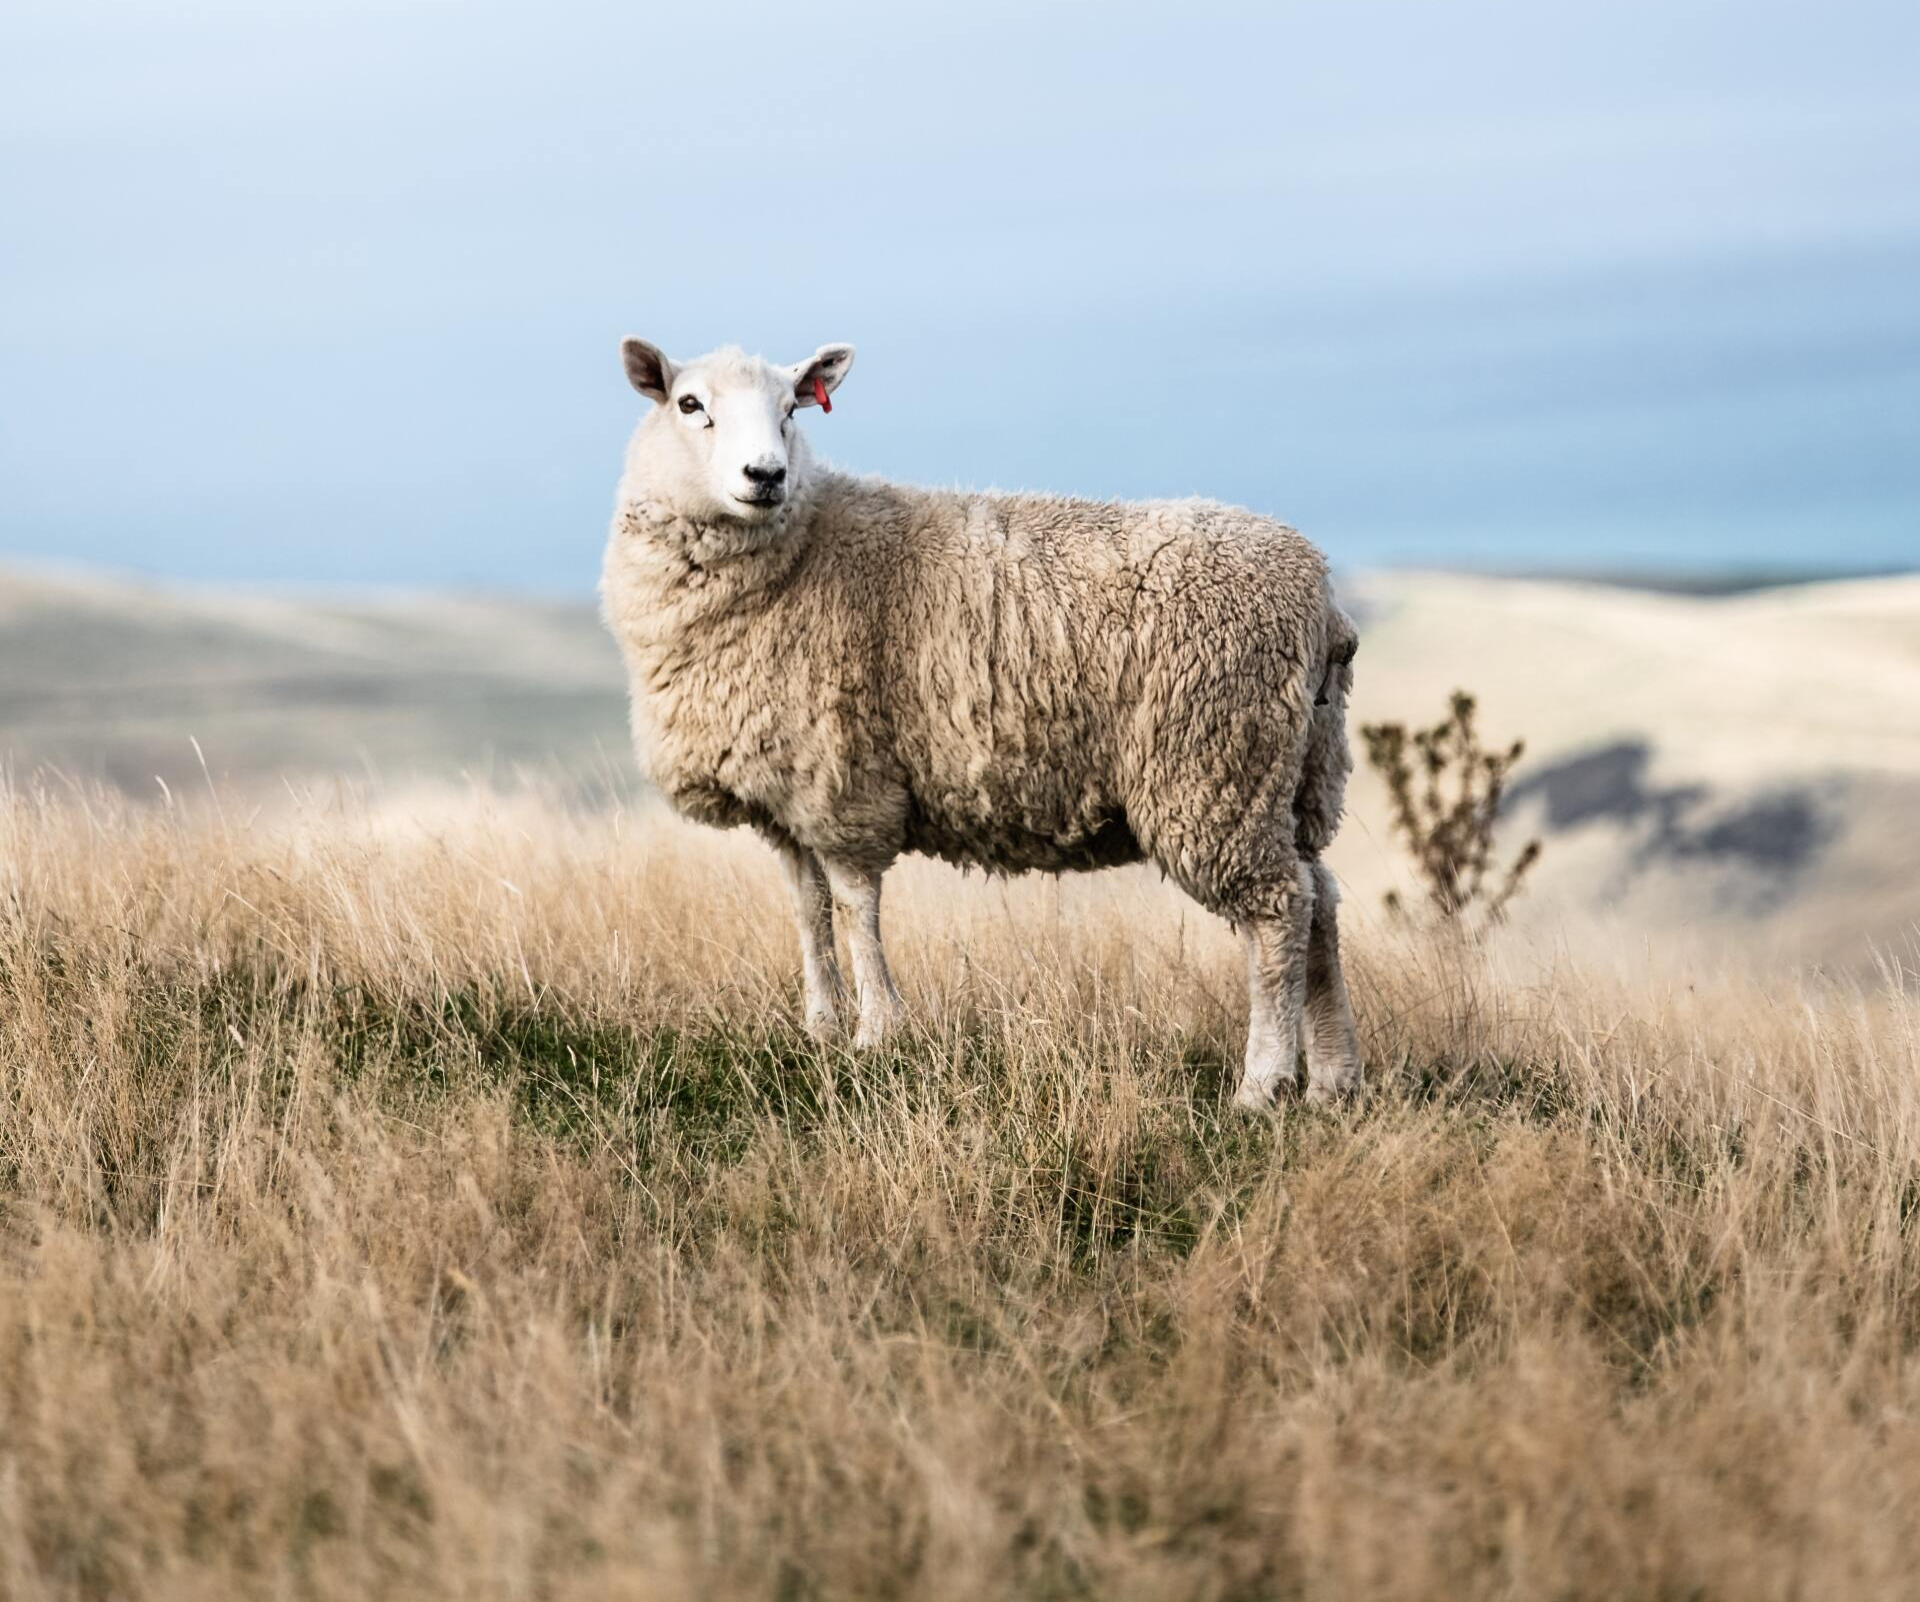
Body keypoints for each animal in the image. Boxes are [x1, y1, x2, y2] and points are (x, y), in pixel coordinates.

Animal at [599, 334, 1367, 1114]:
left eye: (791, 408)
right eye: (690, 404)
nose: (766, 475)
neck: (804, 548)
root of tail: (1321, 599)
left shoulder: (846, 783)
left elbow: (854, 906)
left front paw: (876, 1032)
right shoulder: (789, 794)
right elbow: (808, 911)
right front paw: (820, 1027)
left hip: (1215, 767)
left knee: (1278, 910)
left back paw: (1263, 1083)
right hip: (1294, 774)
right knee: (1320, 901)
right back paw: (1333, 1079)